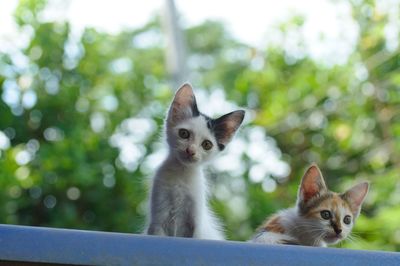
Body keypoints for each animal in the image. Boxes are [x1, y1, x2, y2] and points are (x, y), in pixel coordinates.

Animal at [145, 83, 245, 239]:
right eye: (184, 134)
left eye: (207, 145)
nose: (190, 151)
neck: (181, 172)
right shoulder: (158, 220)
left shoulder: (197, 224)